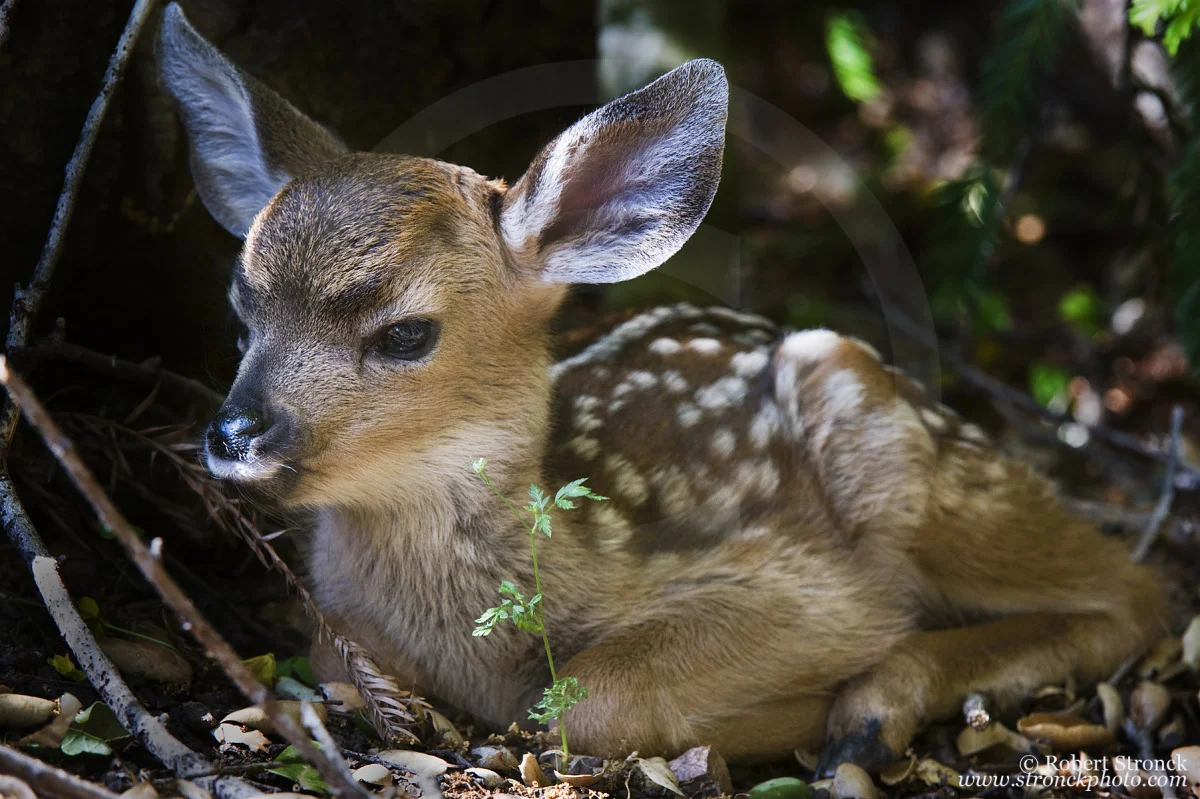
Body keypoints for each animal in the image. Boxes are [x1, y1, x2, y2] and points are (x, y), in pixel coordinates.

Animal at [158, 2, 1169, 774]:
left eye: (407, 332)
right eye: (241, 311)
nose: (235, 432)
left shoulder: (805, 586)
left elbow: (592, 698)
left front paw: (796, 709)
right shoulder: (337, 623)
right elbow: (330, 648)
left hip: (882, 430)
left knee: (1136, 590)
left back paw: (870, 712)